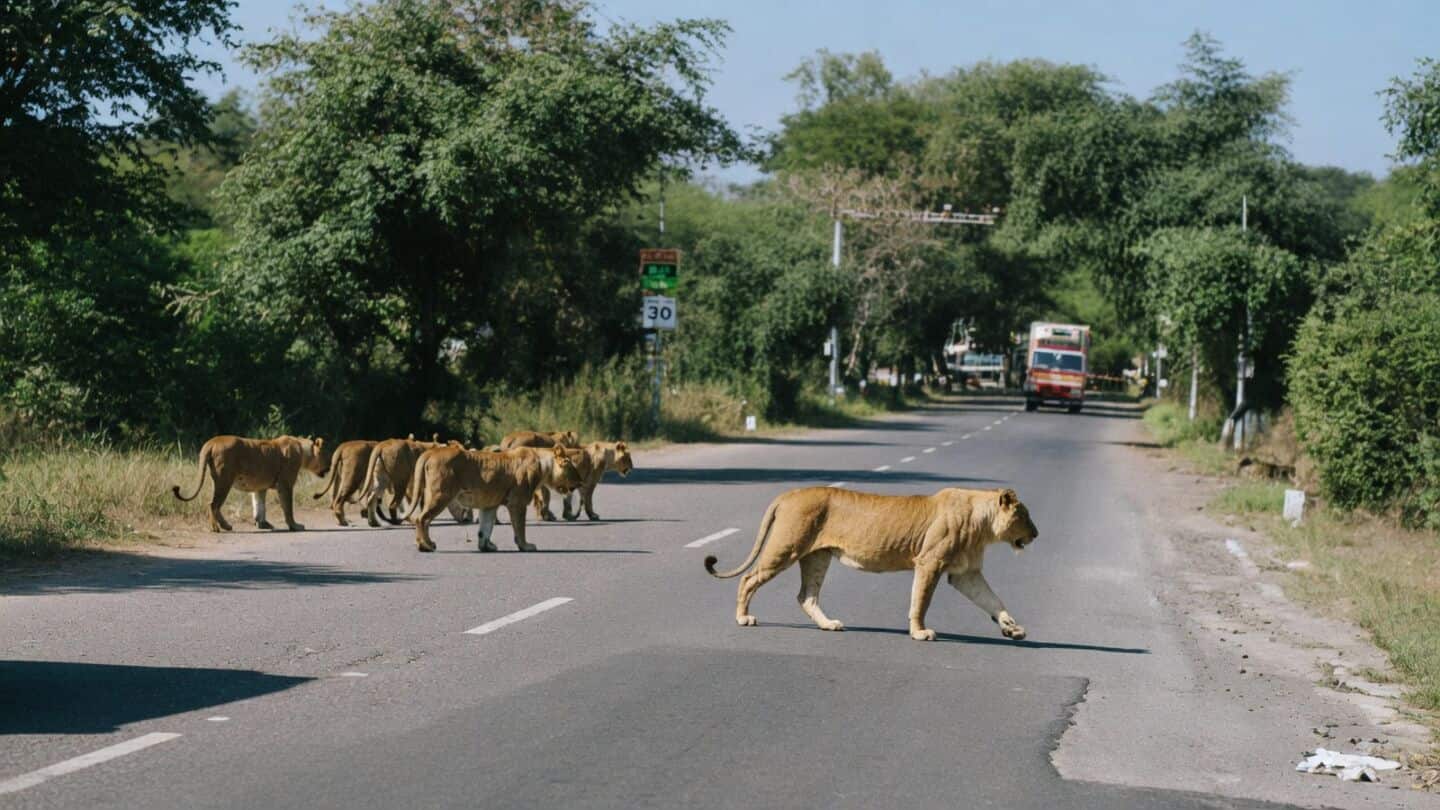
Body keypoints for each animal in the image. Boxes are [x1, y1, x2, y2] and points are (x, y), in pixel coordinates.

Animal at [172, 435, 329, 532]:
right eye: (324, 455)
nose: (328, 468)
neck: (302, 451)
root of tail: (212, 441)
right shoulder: (285, 484)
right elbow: (288, 508)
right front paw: (295, 526)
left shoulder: (260, 487)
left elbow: (260, 505)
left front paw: (262, 524)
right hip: (224, 480)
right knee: (212, 504)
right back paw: (216, 528)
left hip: (216, 481)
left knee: (215, 505)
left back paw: (226, 526)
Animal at [403, 445, 582, 553]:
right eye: (571, 466)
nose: (581, 481)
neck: (543, 465)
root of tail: (431, 452)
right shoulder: (517, 502)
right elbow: (520, 527)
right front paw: (525, 546)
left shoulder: (490, 505)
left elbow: (485, 528)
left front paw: (486, 546)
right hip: (440, 495)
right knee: (422, 518)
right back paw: (426, 545)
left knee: (422, 519)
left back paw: (423, 544)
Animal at [705, 486, 1038, 642]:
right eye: (1025, 516)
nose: (1036, 534)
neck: (983, 525)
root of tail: (789, 493)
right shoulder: (929, 562)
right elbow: (921, 601)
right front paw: (920, 632)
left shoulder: (965, 573)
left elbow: (993, 600)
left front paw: (1012, 628)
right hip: (786, 547)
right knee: (748, 579)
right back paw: (743, 618)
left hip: (817, 557)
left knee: (806, 596)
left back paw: (829, 624)